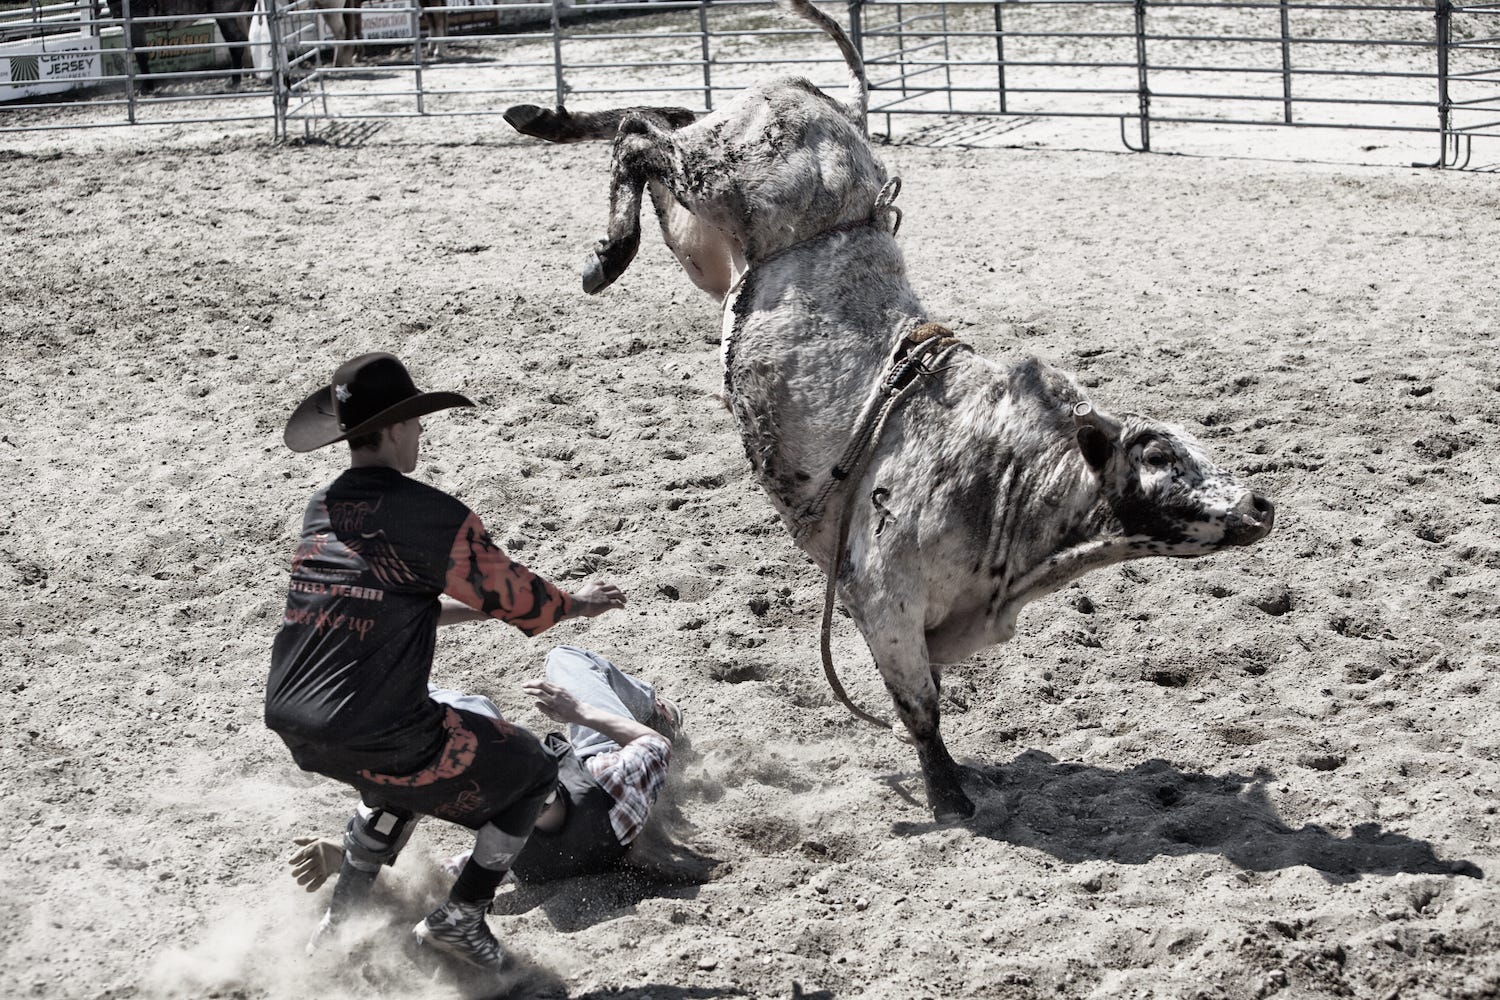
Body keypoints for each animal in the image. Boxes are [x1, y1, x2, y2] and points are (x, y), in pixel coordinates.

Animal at [501, 0, 1266, 821]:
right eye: (1157, 453)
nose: (1260, 503)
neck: (1013, 477)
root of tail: (823, 105)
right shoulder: (885, 600)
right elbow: (920, 707)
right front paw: (949, 798)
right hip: (718, 177)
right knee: (642, 138)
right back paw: (598, 246)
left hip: (706, 240)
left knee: (656, 120)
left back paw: (549, 126)